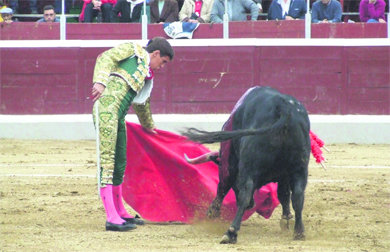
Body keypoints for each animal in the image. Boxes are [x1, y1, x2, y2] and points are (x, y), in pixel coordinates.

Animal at [183, 87, 310, 244]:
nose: (252, 205)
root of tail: (284, 108)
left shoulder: (228, 162)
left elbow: (223, 187)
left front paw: (213, 212)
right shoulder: (285, 175)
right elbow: (284, 194)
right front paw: (286, 219)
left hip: (247, 167)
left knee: (245, 193)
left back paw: (231, 232)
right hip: (300, 168)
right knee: (298, 195)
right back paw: (299, 231)